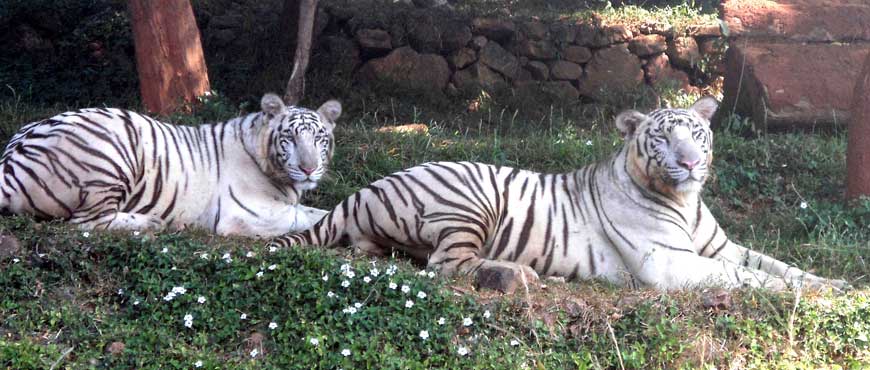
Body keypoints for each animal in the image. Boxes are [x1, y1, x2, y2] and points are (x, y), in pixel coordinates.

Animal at [0, 92, 340, 237]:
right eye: (290, 138)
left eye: (319, 139)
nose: (309, 169)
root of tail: (11, 157)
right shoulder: (248, 215)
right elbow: (306, 217)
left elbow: (320, 211)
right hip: (110, 153)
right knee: (87, 222)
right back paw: (151, 222)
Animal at [270, 97, 848, 292]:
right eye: (664, 138)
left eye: (696, 133)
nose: (688, 162)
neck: (685, 201)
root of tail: (364, 189)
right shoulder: (669, 261)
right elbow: (747, 278)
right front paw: (799, 292)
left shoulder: (721, 247)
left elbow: (775, 264)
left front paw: (836, 284)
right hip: (469, 200)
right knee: (445, 265)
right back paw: (518, 275)